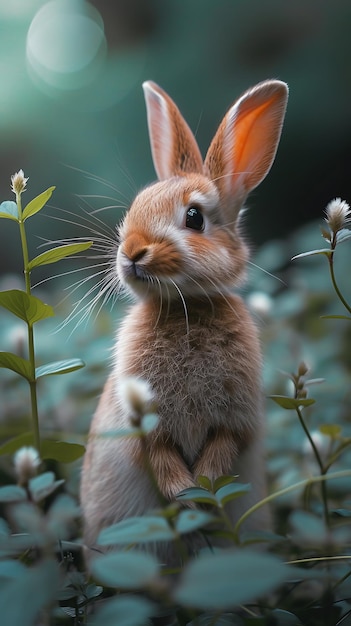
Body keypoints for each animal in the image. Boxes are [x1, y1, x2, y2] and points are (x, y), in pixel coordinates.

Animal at [80, 79, 288, 564]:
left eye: (194, 217)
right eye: (135, 206)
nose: (132, 251)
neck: (186, 307)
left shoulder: (236, 417)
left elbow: (223, 447)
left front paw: (202, 494)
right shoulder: (140, 421)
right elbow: (156, 452)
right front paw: (184, 496)